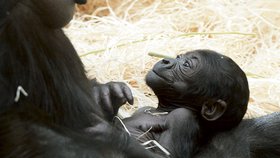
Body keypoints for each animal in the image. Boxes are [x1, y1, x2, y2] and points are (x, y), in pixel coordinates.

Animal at [114, 49, 249, 157]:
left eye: (186, 65)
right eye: (178, 57)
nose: (166, 61)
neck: (164, 109)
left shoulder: (182, 118)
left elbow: (165, 154)